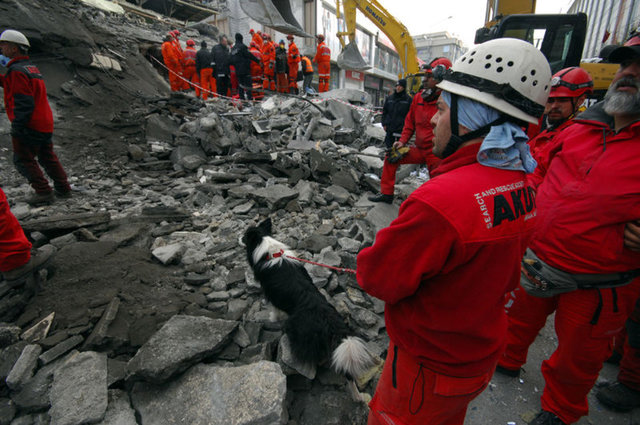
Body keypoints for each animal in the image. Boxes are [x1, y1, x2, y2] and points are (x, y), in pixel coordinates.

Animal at [244, 217, 376, 400]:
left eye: (245, 237)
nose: (239, 238)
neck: (270, 251)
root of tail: (332, 325)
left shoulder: (271, 295)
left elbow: (274, 311)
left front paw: (271, 318)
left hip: (297, 330)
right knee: (348, 374)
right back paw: (358, 396)